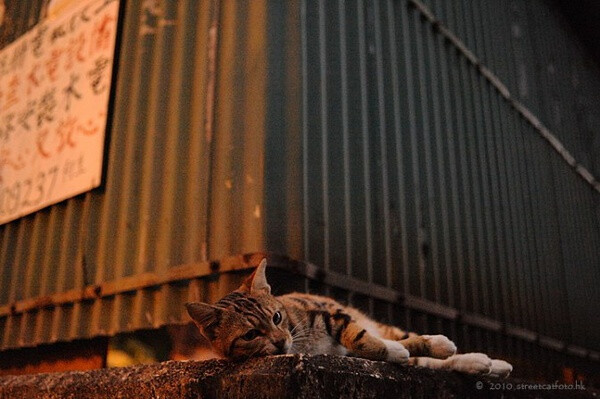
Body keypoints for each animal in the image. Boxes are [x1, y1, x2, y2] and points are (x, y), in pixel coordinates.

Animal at [186, 260, 510, 378]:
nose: (279, 342)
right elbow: (381, 347)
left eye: (277, 317)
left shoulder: (332, 316)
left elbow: (360, 336)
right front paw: (393, 352)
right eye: (251, 335)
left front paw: (393, 347)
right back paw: (482, 364)